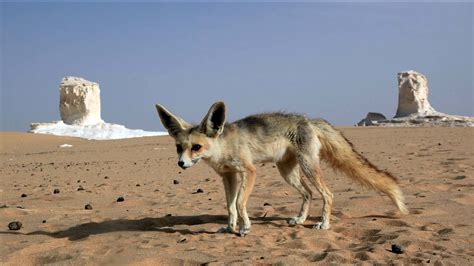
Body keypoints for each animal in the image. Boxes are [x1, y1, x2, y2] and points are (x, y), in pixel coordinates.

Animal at [156, 101, 408, 235]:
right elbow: (230, 206)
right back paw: (300, 219)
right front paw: (229, 228)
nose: (181, 164)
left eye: (196, 147)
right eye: (179, 147)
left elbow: (240, 203)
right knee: (308, 194)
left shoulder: (248, 171)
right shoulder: (229, 176)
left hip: (307, 167)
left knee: (327, 194)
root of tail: (309, 120)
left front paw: (245, 227)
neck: (223, 148)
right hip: (288, 172)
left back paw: (324, 224)